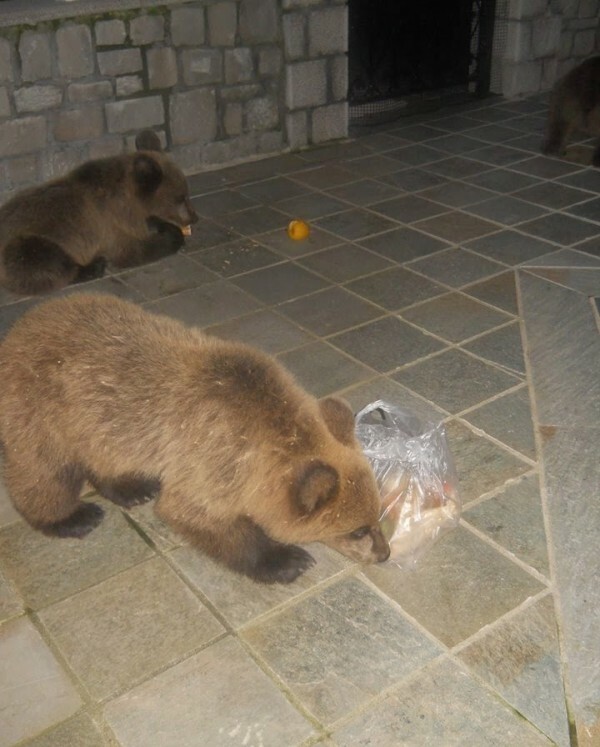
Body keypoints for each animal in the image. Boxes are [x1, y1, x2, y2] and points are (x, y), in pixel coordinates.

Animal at [0, 130, 198, 296]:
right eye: (181, 198)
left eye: (186, 194)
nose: (194, 217)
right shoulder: (111, 226)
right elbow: (133, 252)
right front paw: (173, 234)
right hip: (24, 245)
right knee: (44, 259)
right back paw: (93, 267)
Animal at [0, 294, 390, 584]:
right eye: (357, 530)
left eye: (378, 513)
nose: (384, 553)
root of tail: (22, 325)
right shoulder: (211, 458)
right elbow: (199, 515)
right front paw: (287, 559)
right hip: (42, 408)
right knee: (42, 469)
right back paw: (71, 516)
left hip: (97, 421)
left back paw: (131, 487)